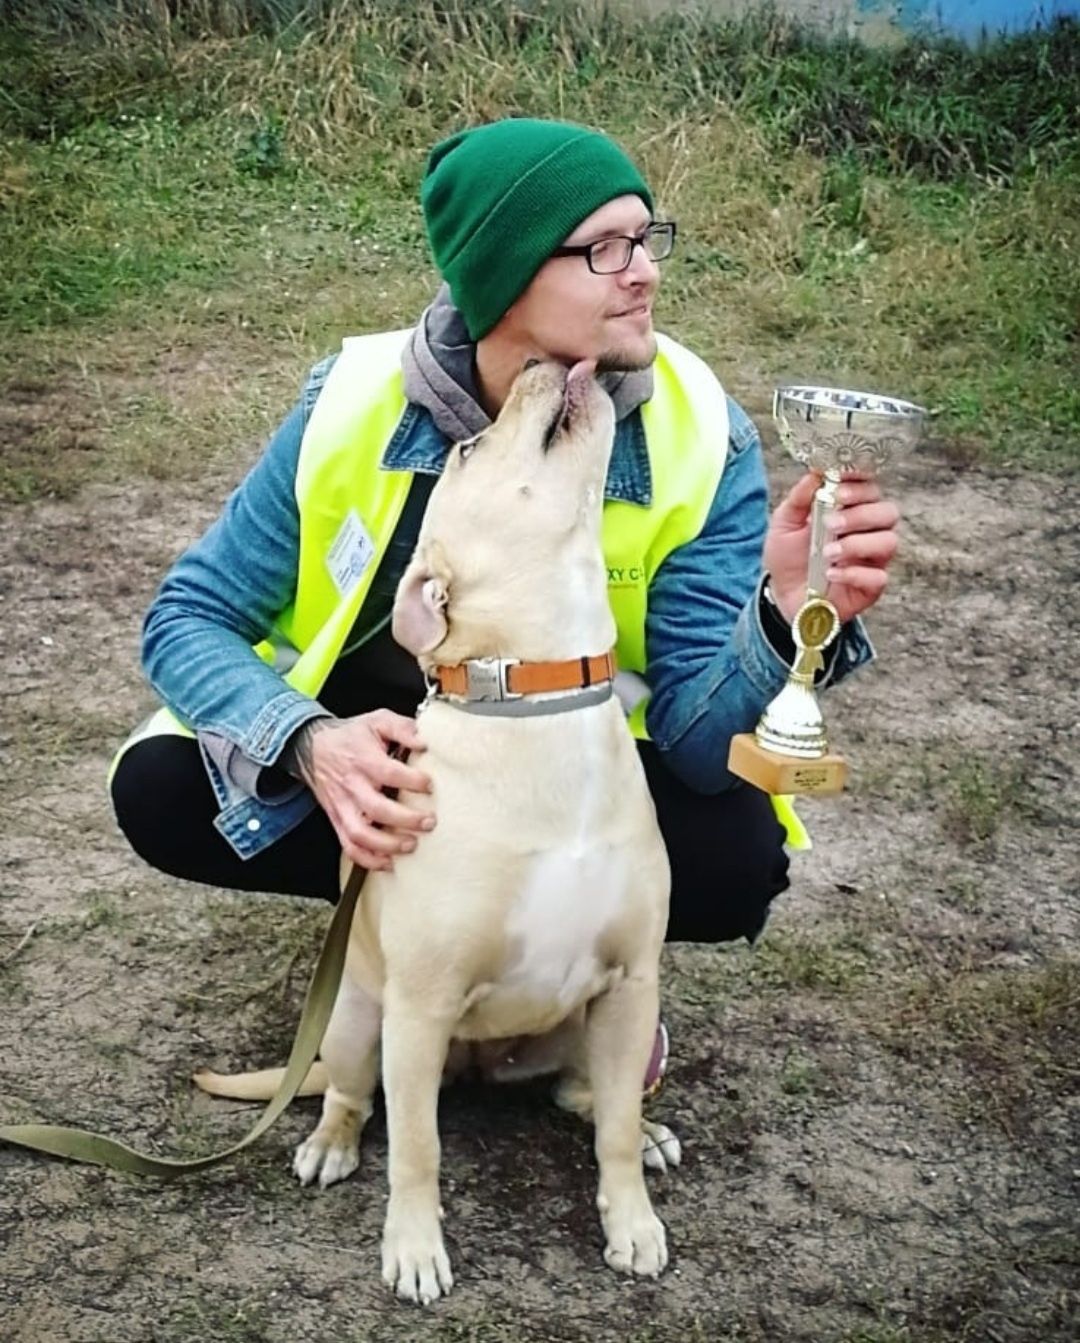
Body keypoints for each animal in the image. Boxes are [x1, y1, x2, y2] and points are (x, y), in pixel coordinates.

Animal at [196, 357, 674, 1300]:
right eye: (469, 450)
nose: (542, 363)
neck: (539, 697)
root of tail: (478, 1062)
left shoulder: (633, 980)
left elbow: (613, 1136)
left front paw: (631, 1222)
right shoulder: (418, 1008)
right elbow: (417, 1147)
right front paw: (415, 1247)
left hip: (583, 1027)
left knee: (594, 1097)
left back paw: (638, 1123)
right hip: (357, 1021)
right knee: (351, 1096)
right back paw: (328, 1143)